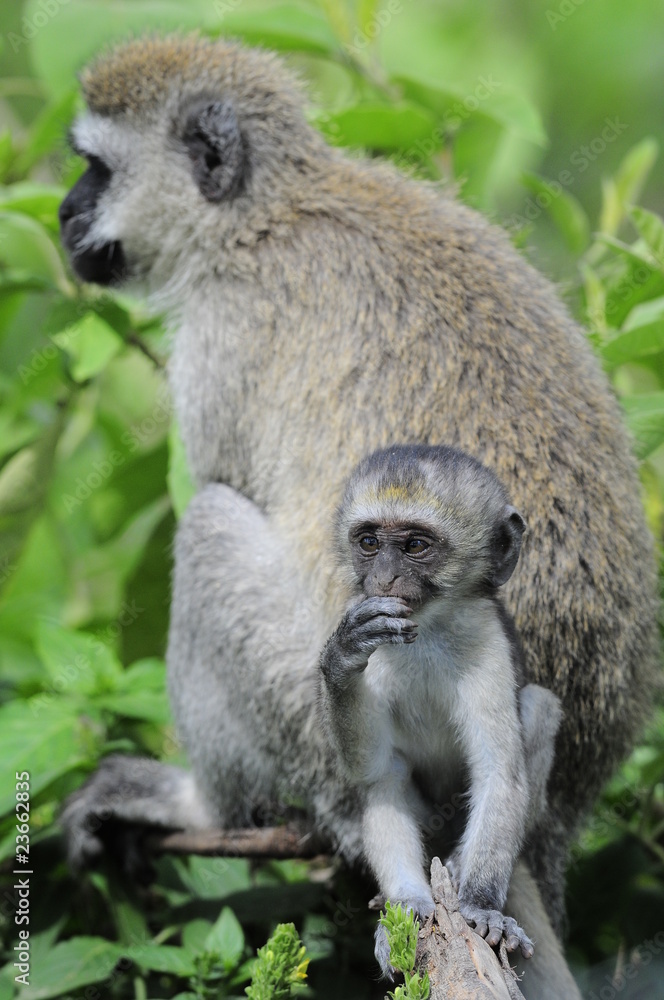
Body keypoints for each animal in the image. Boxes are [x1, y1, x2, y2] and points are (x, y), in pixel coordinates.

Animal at [318, 444, 563, 972]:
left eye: (415, 546)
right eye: (369, 542)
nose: (383, 577)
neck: (428, 629)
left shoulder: (488, 639)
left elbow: (499, 773)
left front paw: (481, 906)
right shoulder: (373, 624)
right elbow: (372, 768)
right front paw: (342, 656)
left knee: (539, 705)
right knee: (385, 779)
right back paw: (406, 906)